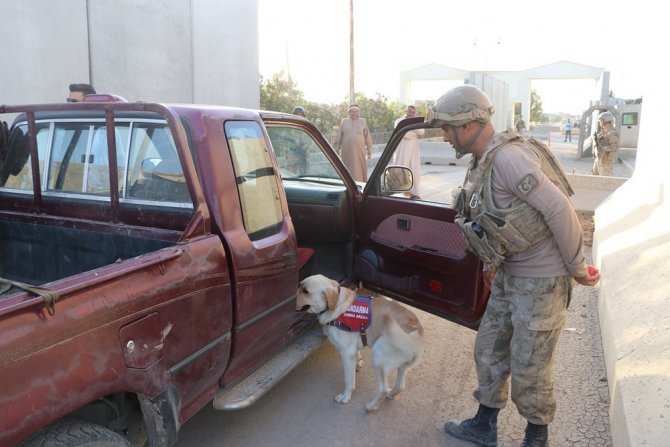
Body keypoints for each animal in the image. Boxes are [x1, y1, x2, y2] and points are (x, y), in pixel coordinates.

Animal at [298, 272, 426, 412]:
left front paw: (345, 397)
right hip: (403, 366)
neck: (337, 304)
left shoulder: (347, 353)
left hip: (378, 357)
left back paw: (371, 406)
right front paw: (358, 362)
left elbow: (349, 380)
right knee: (400, 386)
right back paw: (391, 394)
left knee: (382, 388)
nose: (294, 292)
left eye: (305, 291)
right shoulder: (353, 347)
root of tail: (417, 330)